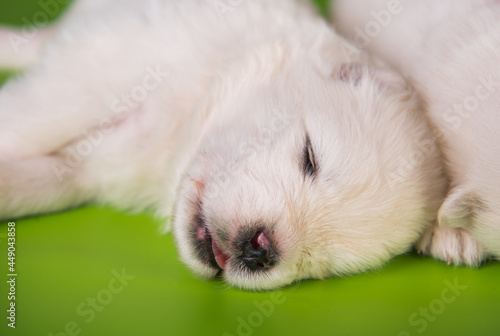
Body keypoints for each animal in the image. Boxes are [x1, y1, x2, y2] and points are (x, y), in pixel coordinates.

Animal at [0, 0, 446, 292]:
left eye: (321, 265)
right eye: (310, 157)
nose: (259, 250)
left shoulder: (83, 171)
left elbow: (29, 185)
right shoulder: (88, 80)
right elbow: (22, 125)